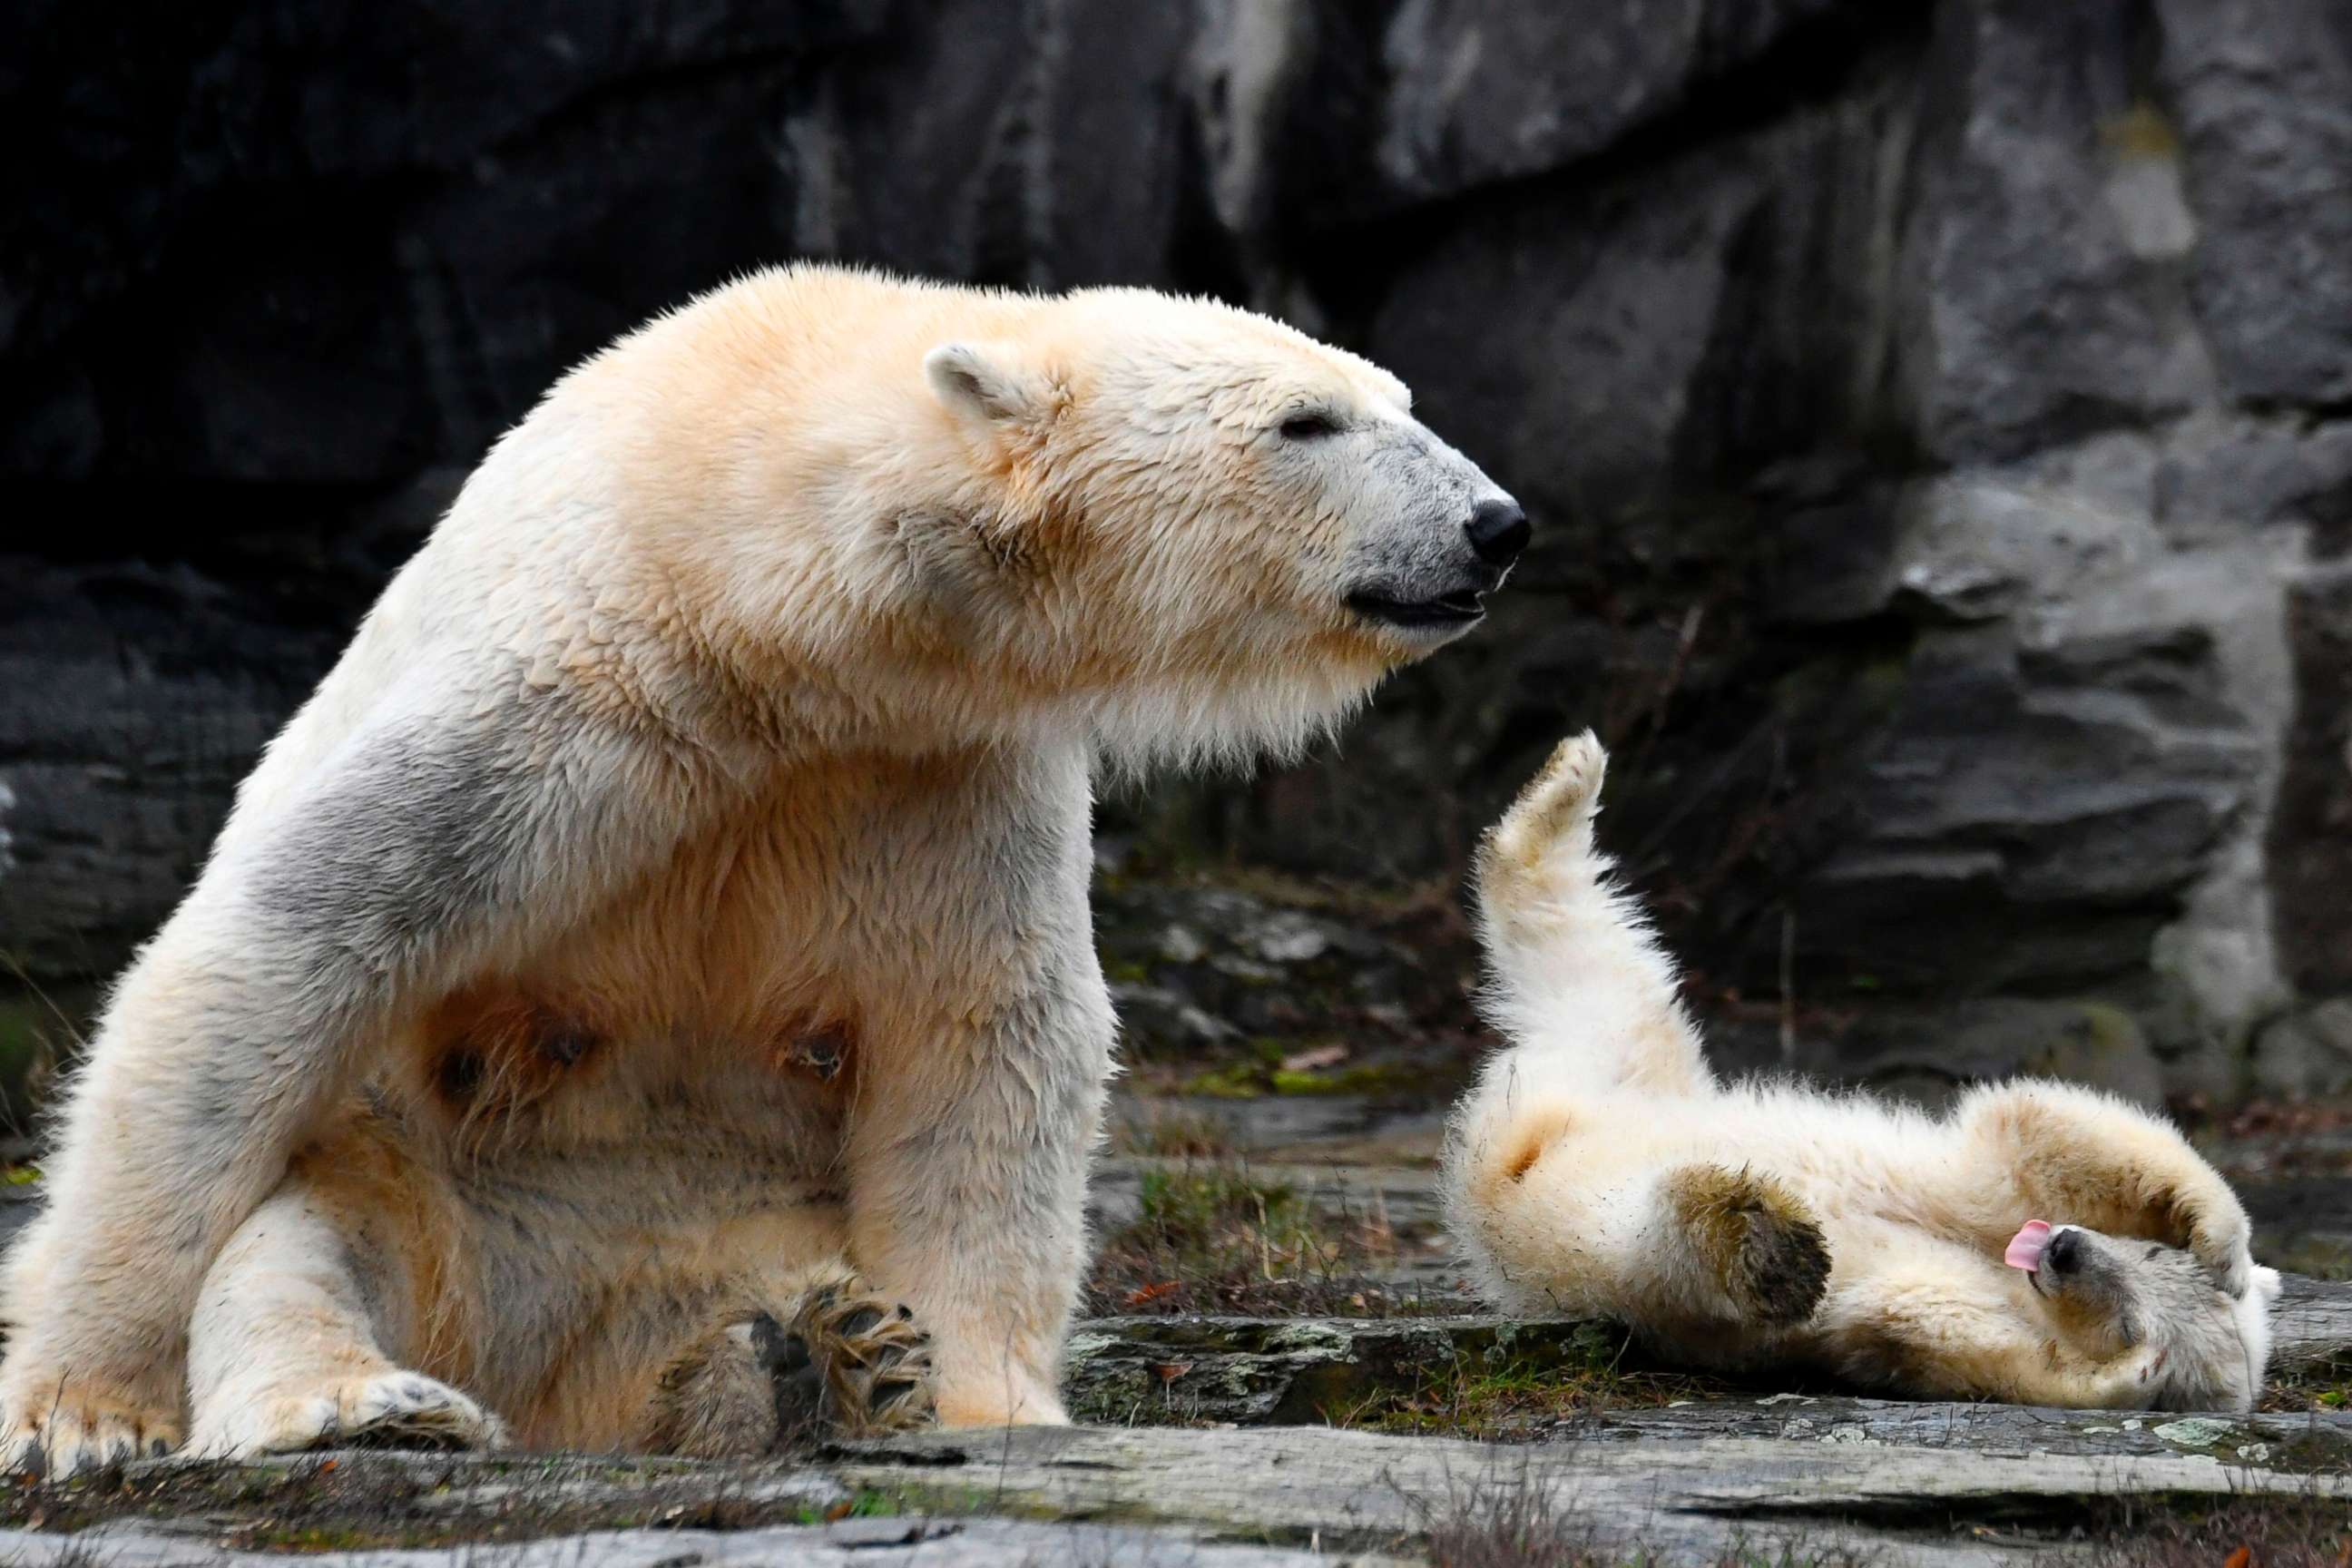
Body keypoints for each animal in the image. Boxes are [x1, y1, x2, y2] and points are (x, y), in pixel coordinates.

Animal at [0, 270, 1524, 1475]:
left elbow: (984, 1036)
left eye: (1396, 396)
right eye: (1307, 422)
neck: (756, 603)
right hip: (441, 1195)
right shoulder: (556, 696)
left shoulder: (932, 766)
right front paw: (76, 1411)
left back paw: (810, 1361)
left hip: (739, 1222)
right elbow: (284, 947)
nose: (1496, 524)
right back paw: (371, 1407)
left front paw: (974, 1394)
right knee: (307, 1251)